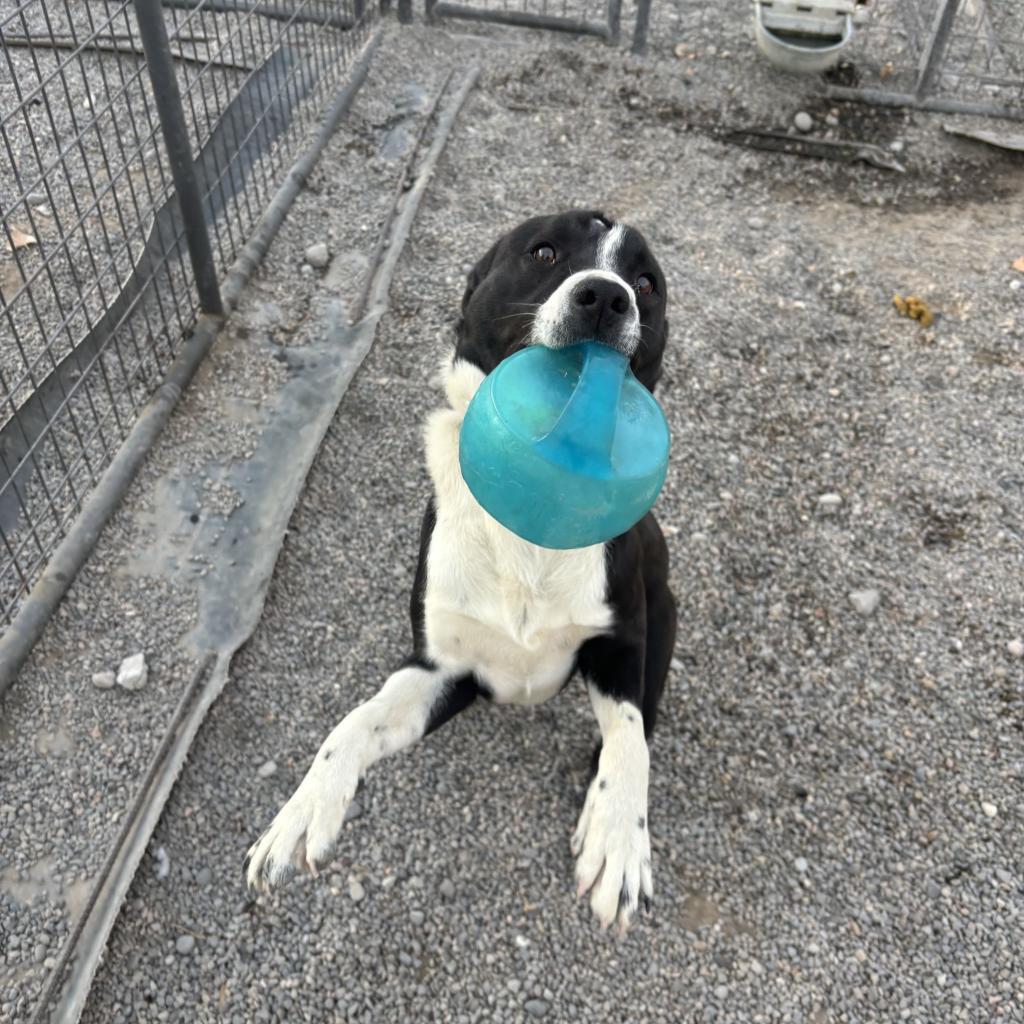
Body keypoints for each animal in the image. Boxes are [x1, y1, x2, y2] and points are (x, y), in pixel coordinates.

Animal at [246, 211, 675, 933]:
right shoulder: (442, 669)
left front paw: (618, 838)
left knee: (645, 717)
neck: (535, 518)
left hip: (666, 606)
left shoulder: (622, 646)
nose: (606, 298)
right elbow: (352, 724)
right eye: (544, 251)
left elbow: (627, 740)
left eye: (647, 284)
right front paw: (304, 812)